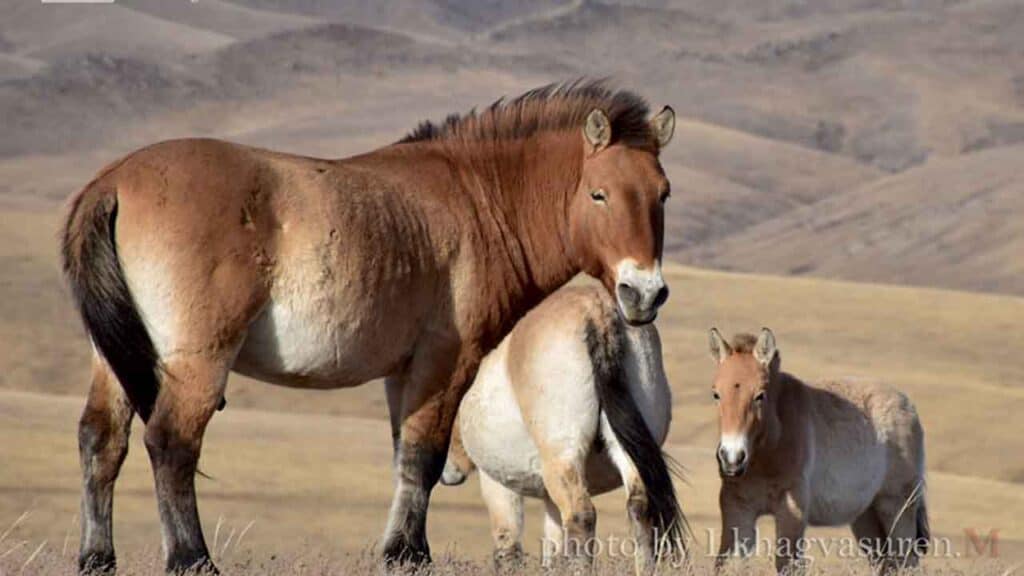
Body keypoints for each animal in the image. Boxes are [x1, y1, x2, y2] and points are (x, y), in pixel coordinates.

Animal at [439, 285, 685, 573]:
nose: (445, 472)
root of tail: (596, 309)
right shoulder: (549, 500)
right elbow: (554, 552)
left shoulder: (498, 486)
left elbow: (508, 549)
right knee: (639, 508)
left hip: (564, 461)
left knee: (582, 516)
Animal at [707, 328, 929, 573]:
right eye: (716, 394)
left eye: (760, 396)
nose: (732, 458)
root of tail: (908, 406)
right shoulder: (737, 507)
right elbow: (727, 562)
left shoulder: (791, 512)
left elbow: (787, 564)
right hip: (867, 517)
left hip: (897, 507)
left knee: (905, 560)